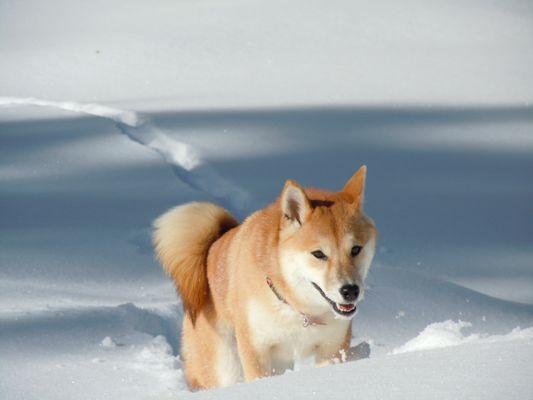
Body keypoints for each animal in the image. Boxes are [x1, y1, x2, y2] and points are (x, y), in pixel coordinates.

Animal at [153, 165, 378, 388]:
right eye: (318, 254)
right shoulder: (256, 349)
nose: (350, 290)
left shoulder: (332, 348)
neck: (297, 309)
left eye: (356, 249)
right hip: (225, 365)